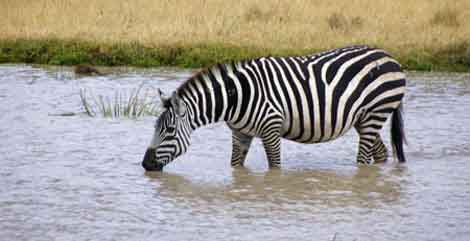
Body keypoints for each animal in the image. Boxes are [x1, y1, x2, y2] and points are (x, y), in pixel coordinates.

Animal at [141, 45, 406, 171]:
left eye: (169, 131)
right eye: (155, 128)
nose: (146, 165)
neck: (236, 97)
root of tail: (389, 56)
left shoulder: (271, 128)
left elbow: (275, 167)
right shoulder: (240, 133)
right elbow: (235, 166)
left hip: (375, 112)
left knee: (363, 159)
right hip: (364, 119)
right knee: (380, 154)